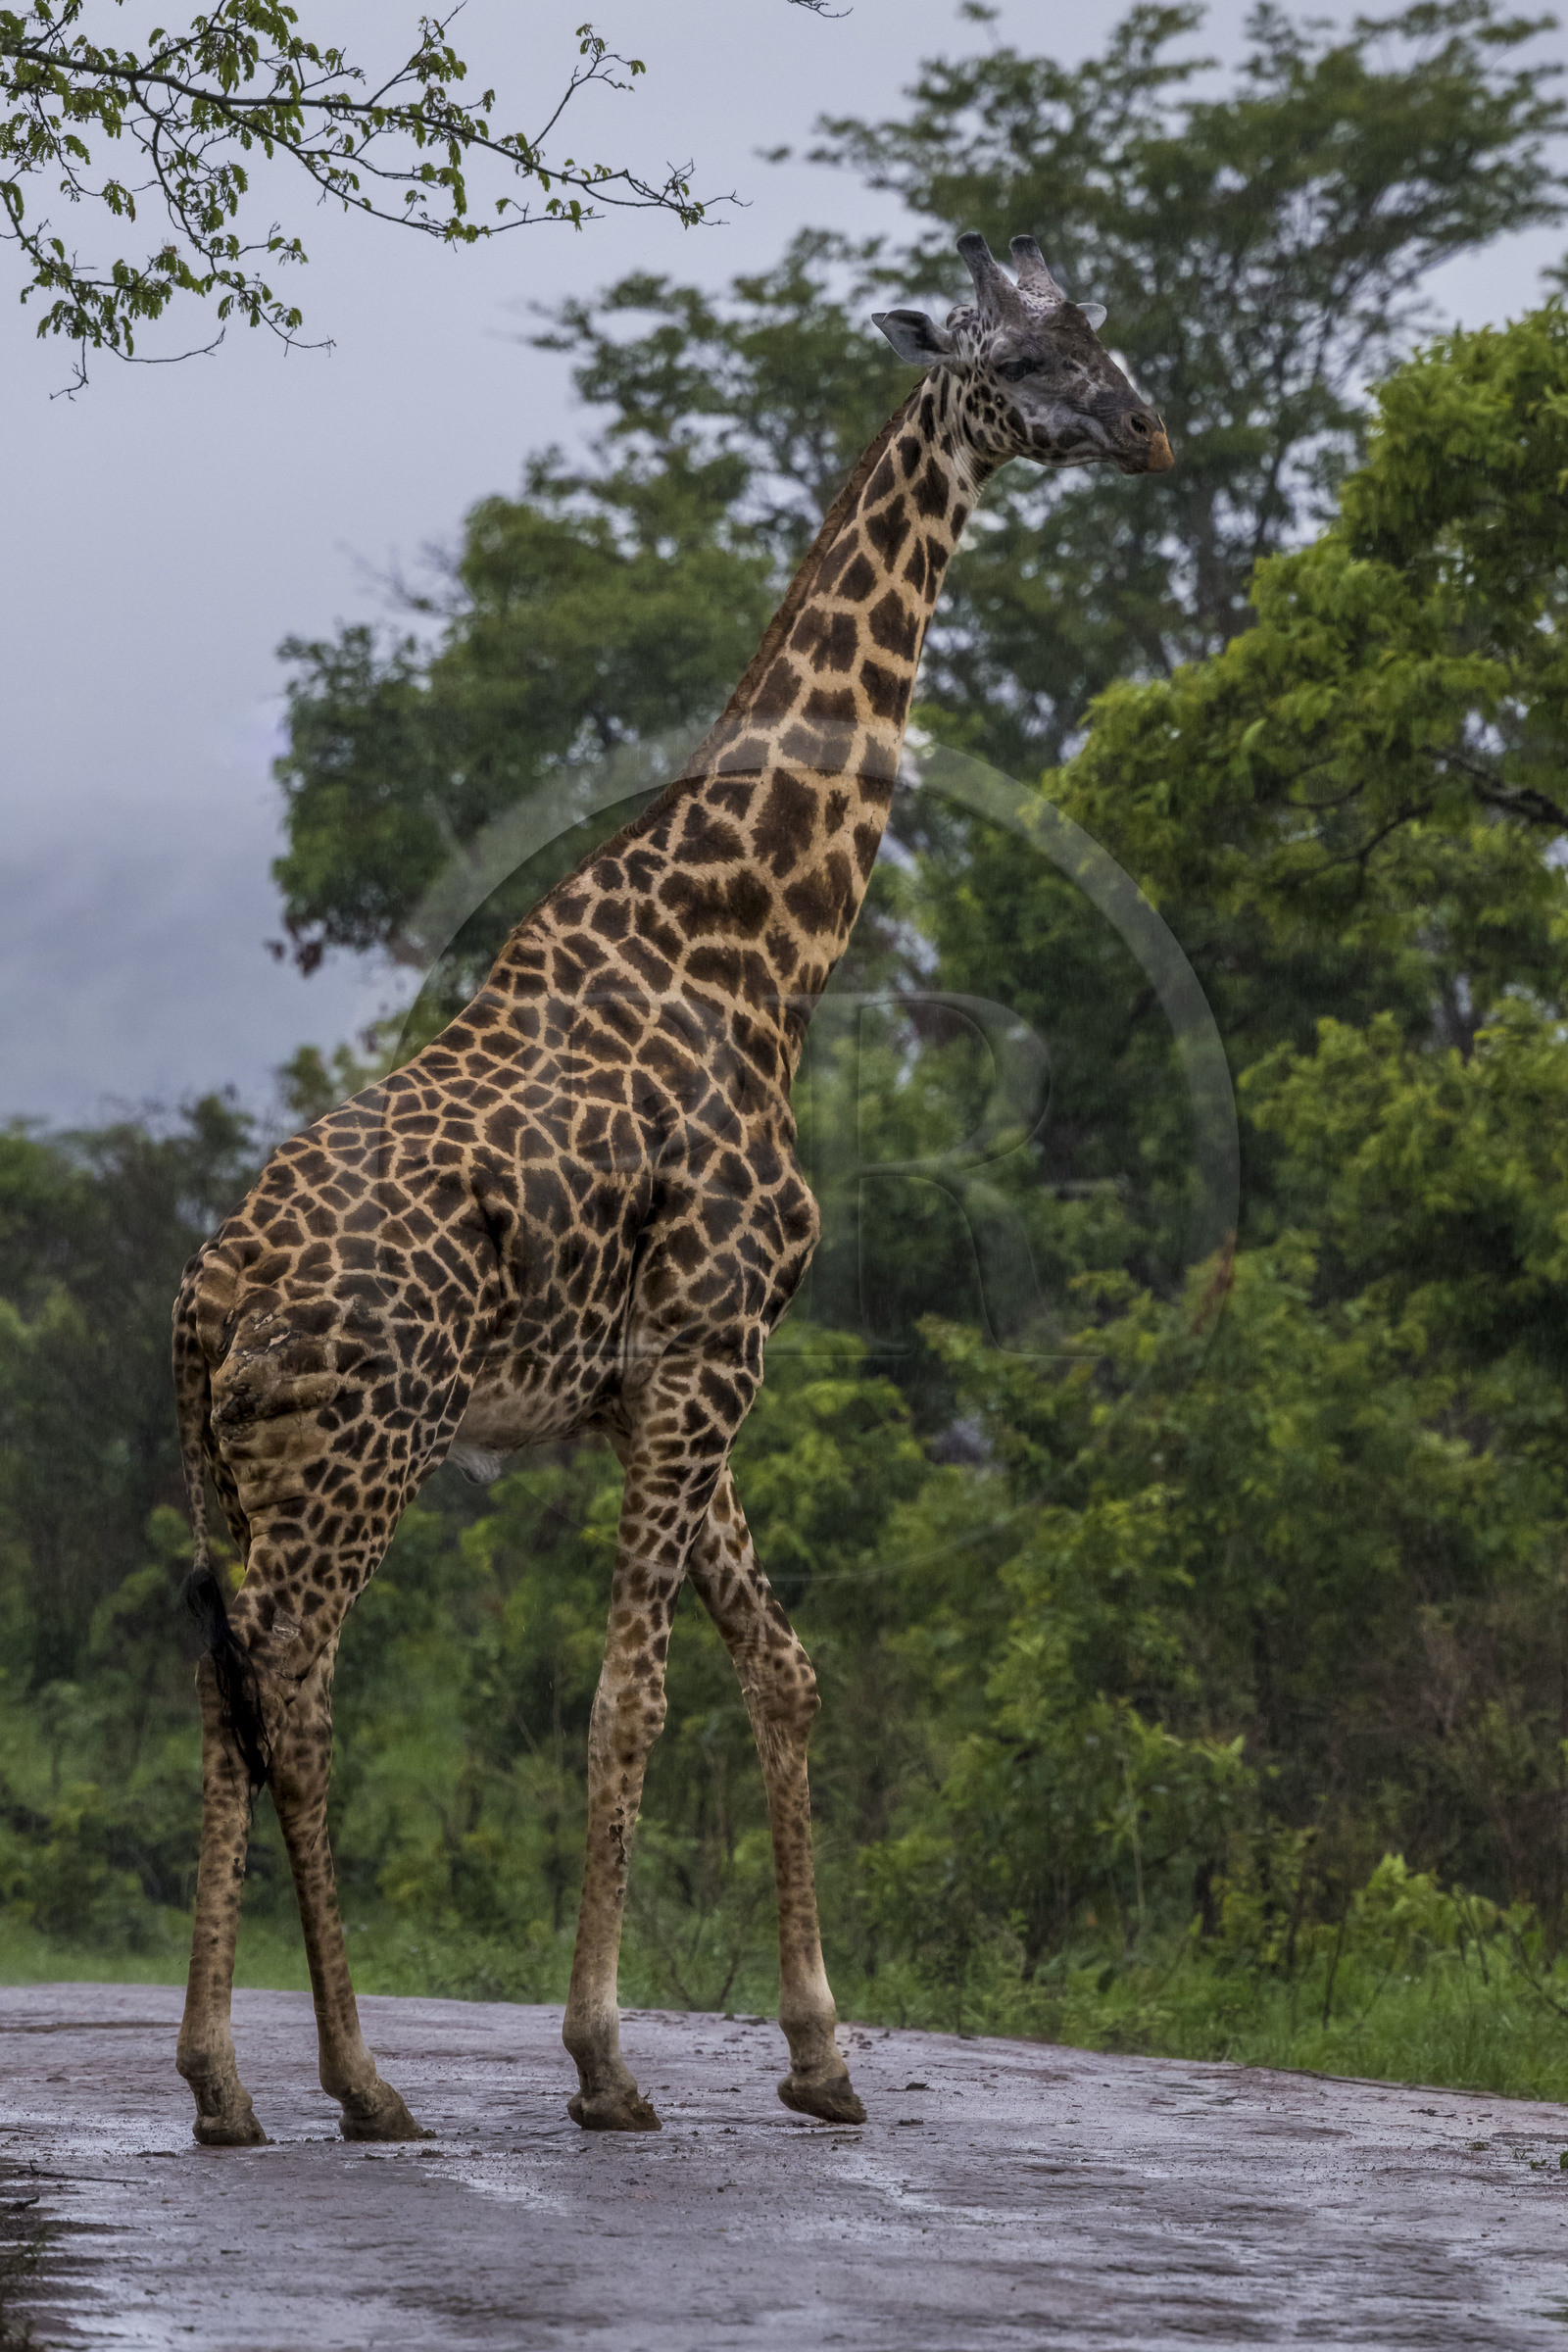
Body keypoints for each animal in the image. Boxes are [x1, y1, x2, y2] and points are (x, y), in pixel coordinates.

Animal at [170, 231, 1173, 2147]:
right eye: (1021, 358)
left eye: (1104, 334)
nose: (1148, 431)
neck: (761, 943)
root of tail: (209, 1299)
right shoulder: (716, 1344)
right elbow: (629, 1698)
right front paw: (605, 2061)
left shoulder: (653, 1383)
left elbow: (779, 1667)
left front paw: (823, 2053)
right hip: (364, 1446)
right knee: (300, 1685)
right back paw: (354, 2078)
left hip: (232, 1471)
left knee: (224, 1680)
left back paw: (225, 2081)